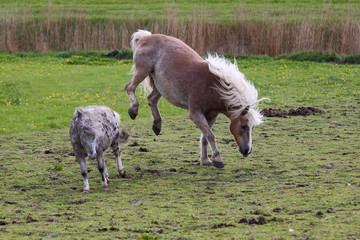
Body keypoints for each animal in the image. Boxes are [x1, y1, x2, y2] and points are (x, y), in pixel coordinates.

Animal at [125, 30, 266, 169]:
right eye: (243, 126)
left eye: (252, 127)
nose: (247, 151)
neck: (212, 87)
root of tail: (145, 37)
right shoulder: (196, 114)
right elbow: (210, 135)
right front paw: (217, 159)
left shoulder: (211, 116)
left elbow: (205, 137)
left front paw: (206, 160)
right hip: (142, 71)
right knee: (129, 87)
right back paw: (133, 110)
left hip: (161, 86)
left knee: (152, 99)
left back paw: (157, 124)